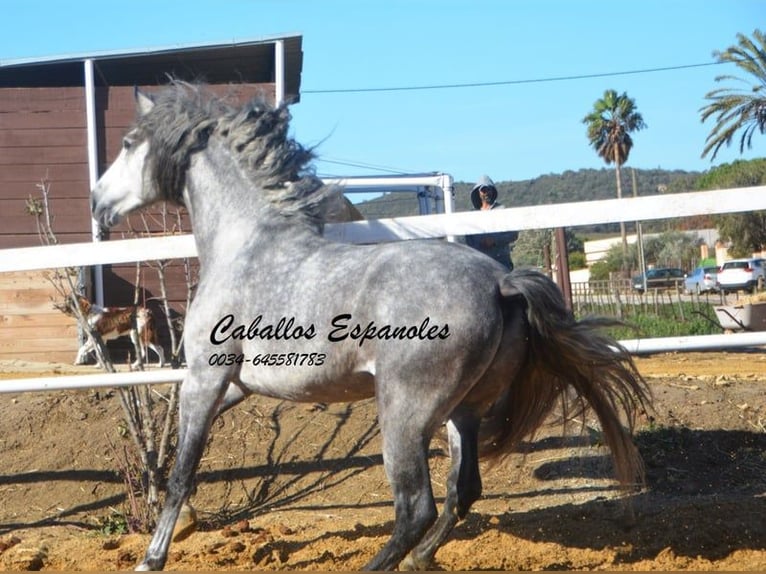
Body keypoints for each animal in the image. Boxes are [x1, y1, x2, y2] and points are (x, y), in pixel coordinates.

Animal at [91, 82, 656, 572]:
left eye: (127, 144)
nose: (97, 202)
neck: (246, 248)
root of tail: (502, 284)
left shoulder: (206, 377)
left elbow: (182, 472)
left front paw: (150, 559)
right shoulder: (236, 384)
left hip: (405, 413)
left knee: (416, 505)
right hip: (464, 411)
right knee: (462, 490)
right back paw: (421, 559)